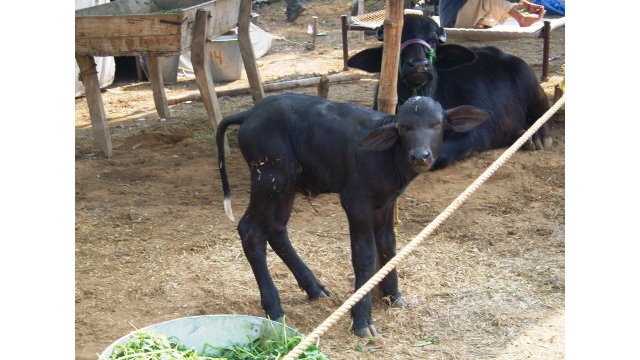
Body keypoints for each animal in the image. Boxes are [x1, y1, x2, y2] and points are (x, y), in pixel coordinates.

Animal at [218, 93, 492, 338]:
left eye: (437, 124)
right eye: (404, 127)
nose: (420, 156)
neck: (387, 158)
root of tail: (250, 113)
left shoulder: (386, 202)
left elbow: (388, 247)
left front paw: (393, 296)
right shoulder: (355, 201)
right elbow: (365, 255)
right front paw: (362, 319)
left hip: (287, 183)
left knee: (276, 228)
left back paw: (314, 288)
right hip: (270, 178)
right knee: (251, 230)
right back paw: (274, 308)